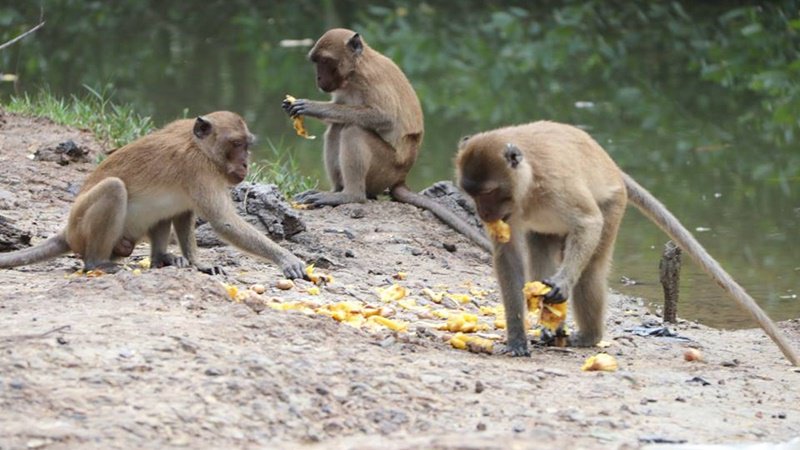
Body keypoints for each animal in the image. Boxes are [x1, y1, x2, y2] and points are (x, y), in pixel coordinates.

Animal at [0, 110, 306, 280]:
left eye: (247, 145)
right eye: (236, 144)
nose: (245, 164)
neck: (200, 147)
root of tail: (67, 232)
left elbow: (184, 214)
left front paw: (199, 263)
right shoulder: (199, 169)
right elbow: (224, 222)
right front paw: (287, 259)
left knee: (165, 211)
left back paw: (162, 259)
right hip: (81, 230)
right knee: (114, 189)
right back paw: (96, 264)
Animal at [282, 28, 494, 253]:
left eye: (325, 61)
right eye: (316, 62)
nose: (319, 78)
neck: (356, 69)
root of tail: (401, 177)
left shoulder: (371, 79)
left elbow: (384, 117)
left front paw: (313, 107)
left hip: (385, 169)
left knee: (352, 129)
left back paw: (350, 195)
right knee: (337, 128)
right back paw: (337, 190)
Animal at [456, 120, 800, 366]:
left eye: (488, 192)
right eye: (473, 194)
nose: (484, 214)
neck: (526, 187)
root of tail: (613, 168)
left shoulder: (555, 185)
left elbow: (588, 223)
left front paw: (562, 284)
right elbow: (508, 257)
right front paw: (517, 338)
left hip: (614, 203)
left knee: (590, 271)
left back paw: (589, 336)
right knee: (542, 246)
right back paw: (552, 326)